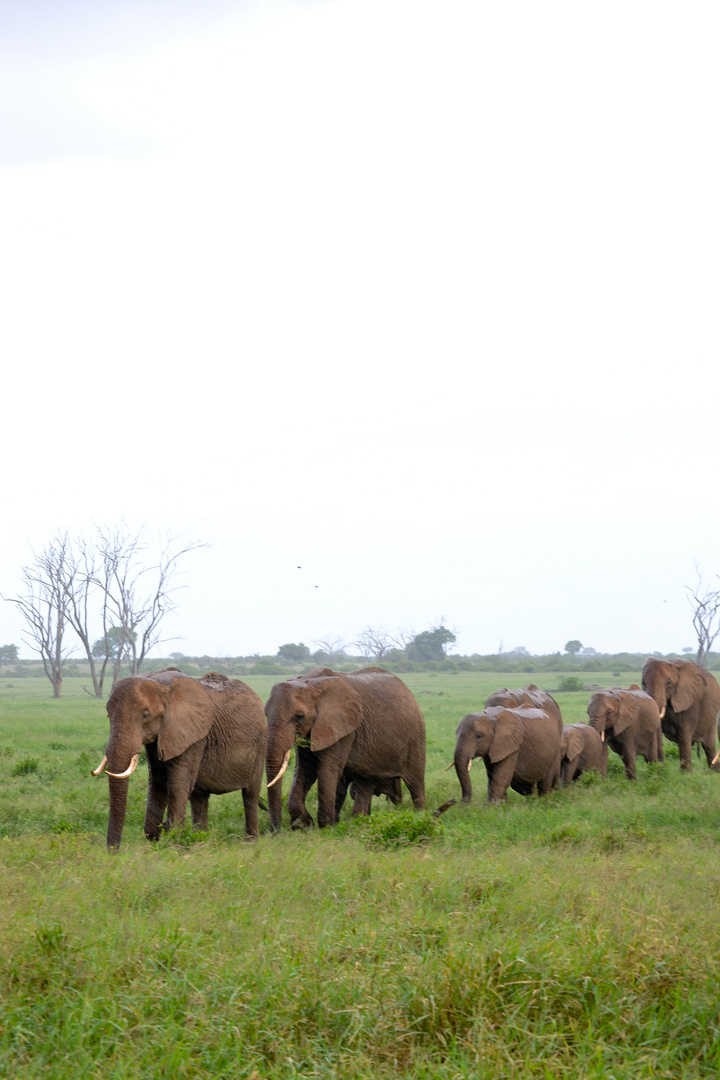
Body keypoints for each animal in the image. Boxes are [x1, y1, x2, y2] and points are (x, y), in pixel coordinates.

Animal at [92, 665, 267, 851]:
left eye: (145, 715)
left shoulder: (194, 736)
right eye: (108, 715)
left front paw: (174, 842)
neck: (160, 682)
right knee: (199, 797)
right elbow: (158, 780)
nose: (114, 852)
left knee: (250, 794)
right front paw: (159, 833)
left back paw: (250, 842)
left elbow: (178, 784)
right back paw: (201, 840)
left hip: (261, 745)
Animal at [264, 660, 425, 829]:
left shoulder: (343, 728)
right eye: (265, 714)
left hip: (416, 736)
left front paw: (326, 827)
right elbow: (305, 769)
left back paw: (420, 813)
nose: (275, 830)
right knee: (365, 781)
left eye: (299, 717)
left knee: (415, 781)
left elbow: (327, 770)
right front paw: (304, 826)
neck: (309, 682)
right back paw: (359, 820)